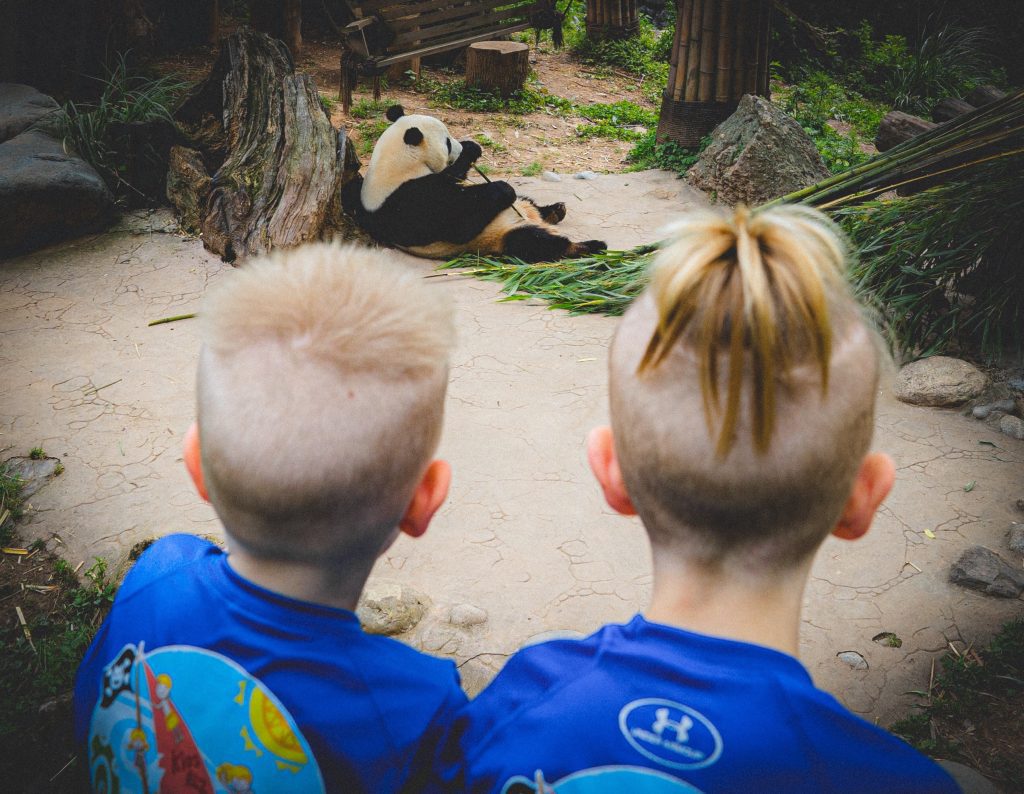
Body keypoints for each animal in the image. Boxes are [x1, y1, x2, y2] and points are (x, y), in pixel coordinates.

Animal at [342, 106, 606, 264]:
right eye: (448, 142)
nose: (458, 147)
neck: (395, 163)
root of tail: (532, 219)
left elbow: (454, 174)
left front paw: (471, 149)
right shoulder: (405, 200)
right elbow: (457, 221)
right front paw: (503, 189)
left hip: (522, 211)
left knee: (529, 203)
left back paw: (554, 210)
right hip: (500, 234)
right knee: (534, 243)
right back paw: (588, 246)